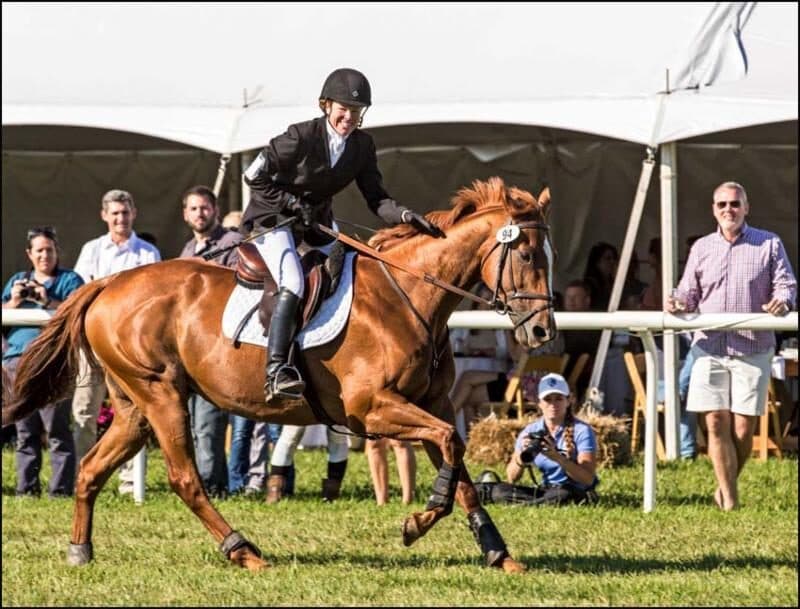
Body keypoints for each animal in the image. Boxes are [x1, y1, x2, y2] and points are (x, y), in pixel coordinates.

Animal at [2, 176, 556, 573]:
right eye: (528, 254)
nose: (543, 331)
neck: (408, 296)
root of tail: (108, 283)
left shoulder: (431, 404)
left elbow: (460, 467)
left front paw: (498, 553)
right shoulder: (372, 409)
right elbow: (450, 447)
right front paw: (417, 522)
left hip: (135, 407)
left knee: (91, 468)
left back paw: (80, 550)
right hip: (162, 397)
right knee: (185, 478)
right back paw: (243, 550)